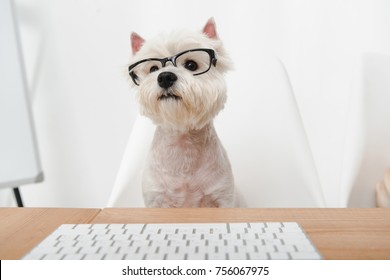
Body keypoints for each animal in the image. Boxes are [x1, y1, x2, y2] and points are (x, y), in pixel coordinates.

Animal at [129, 18, 235, 207]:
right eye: (153, 69)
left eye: (191, 65)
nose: (165, 77)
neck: (182, 142)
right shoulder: (155, 199)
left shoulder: (223, 196)